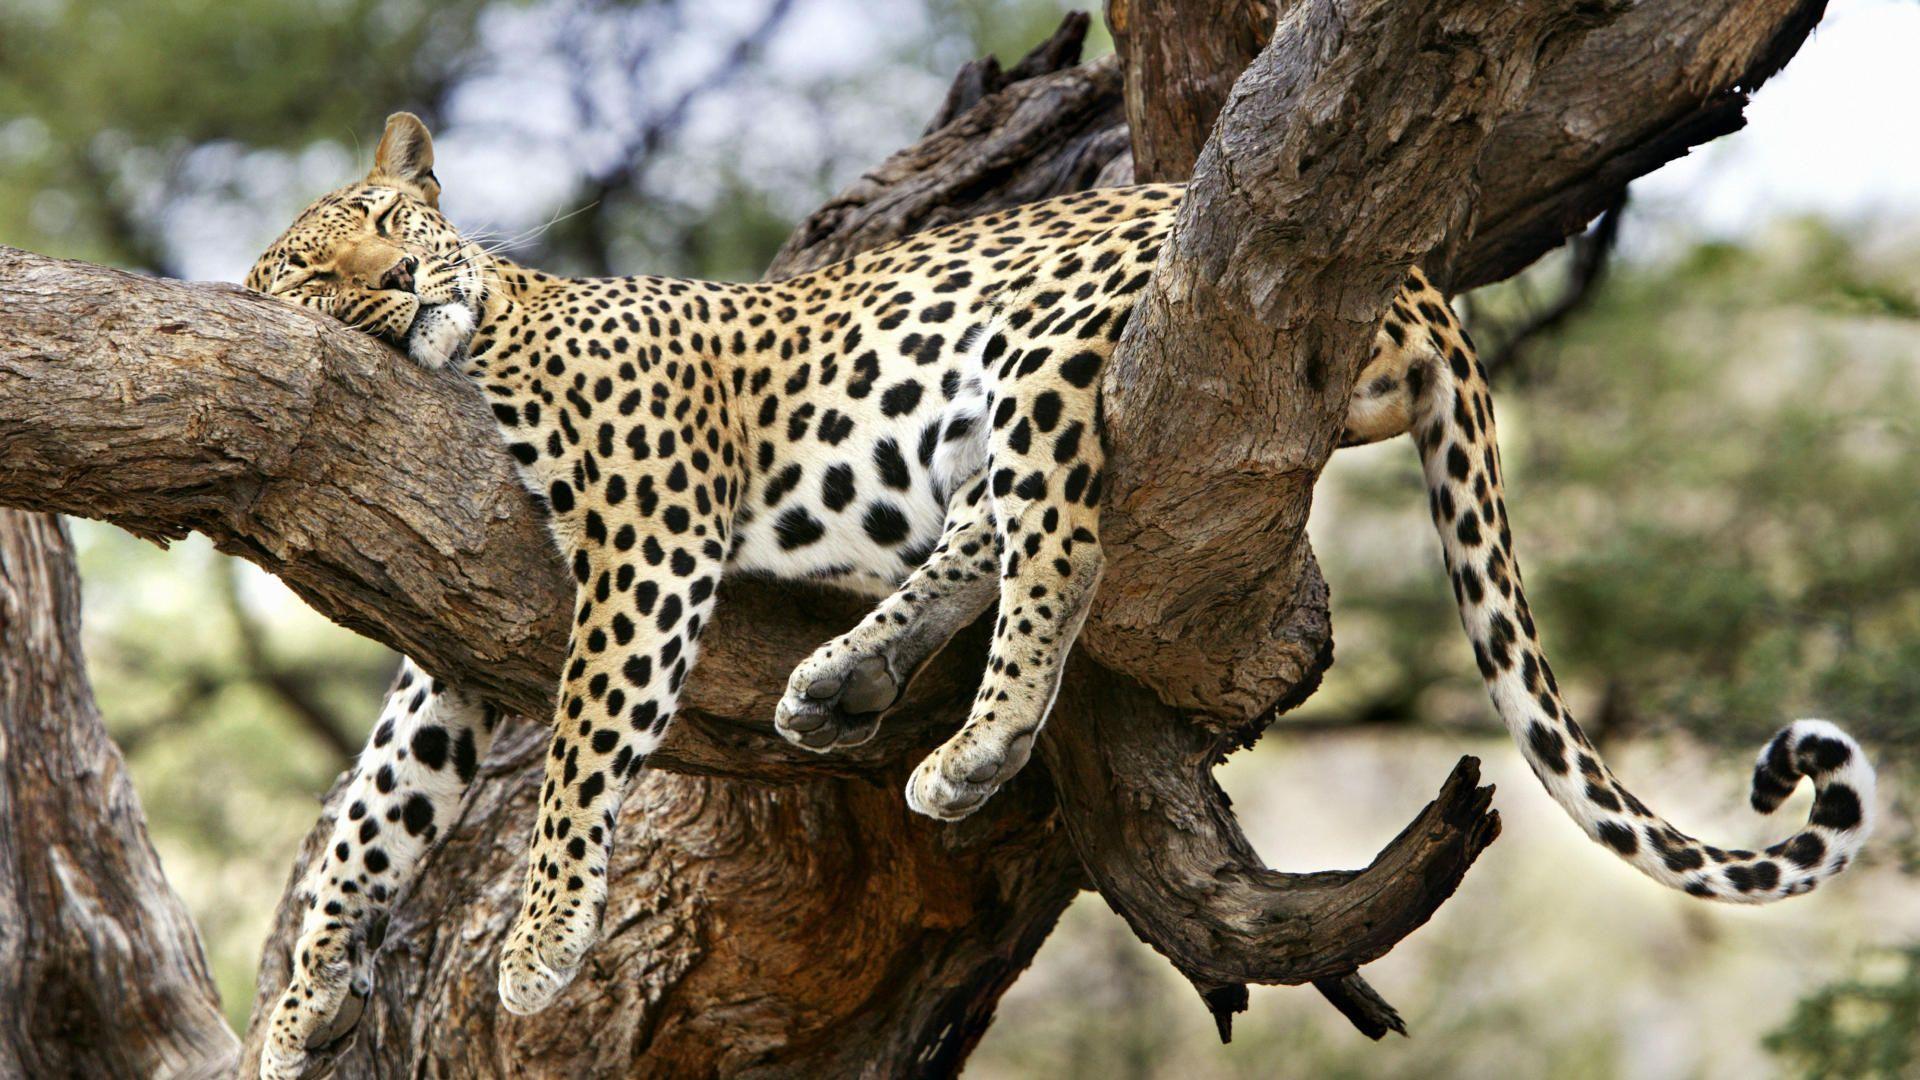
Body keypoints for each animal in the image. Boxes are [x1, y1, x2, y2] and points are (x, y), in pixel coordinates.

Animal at [246, 113, 1876, 1078]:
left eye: (392, 222)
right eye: (314, 273)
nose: (402, 288)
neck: (484, 341)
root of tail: (1418, 278)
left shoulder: (648, 543)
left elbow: (583, 751)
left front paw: (537, 945)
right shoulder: (453, 640)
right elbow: (376, 809)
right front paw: (297, 1006)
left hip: (1042, 348)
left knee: (1063, 545)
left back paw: (971, 747)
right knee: (990, 530)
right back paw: (845, 680)